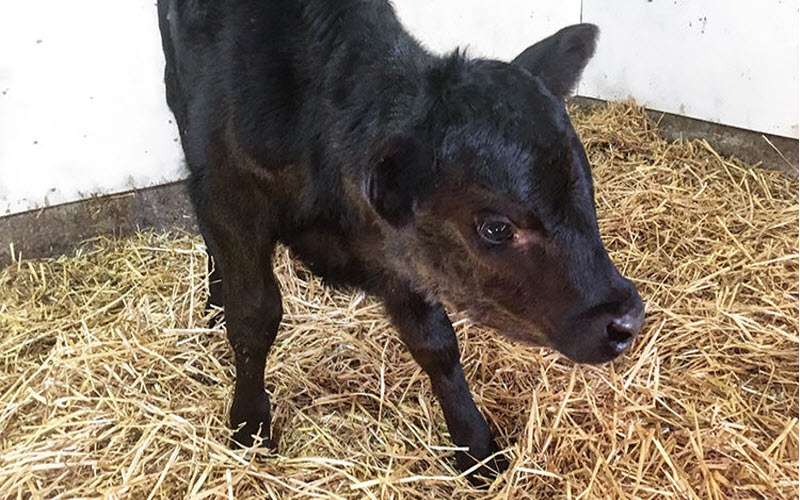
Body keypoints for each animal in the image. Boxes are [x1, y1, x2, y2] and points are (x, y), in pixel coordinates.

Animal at [157, 0, 645, 483]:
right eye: (496, 228)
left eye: (585, 191)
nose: (626, 319)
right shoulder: (229, 200)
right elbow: (254, 316)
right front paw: (250, 426)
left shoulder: (401, 250)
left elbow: (435, 342)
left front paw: (475, 446)